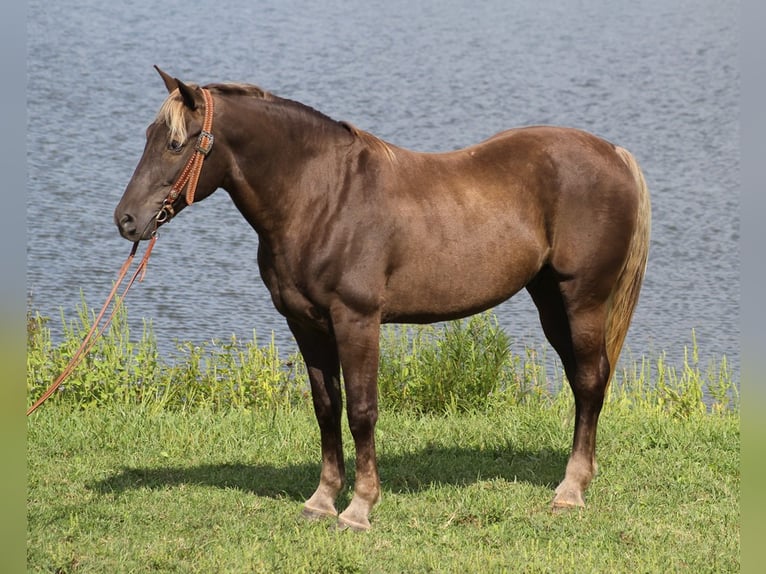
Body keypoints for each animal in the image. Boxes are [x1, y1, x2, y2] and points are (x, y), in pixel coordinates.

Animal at [115, 68, 656, 536]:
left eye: (174, 143)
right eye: (147, 135)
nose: (126, 220)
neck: (322, 197)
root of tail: (615, 153)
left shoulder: (357, 320)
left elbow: (362, 410)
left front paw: (359, 508)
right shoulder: (306, 324)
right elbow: (326, 407)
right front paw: (321, 500)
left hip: (582, 299)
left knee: (589, 382)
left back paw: (570, 491)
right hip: (550, 301)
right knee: (584, 381)